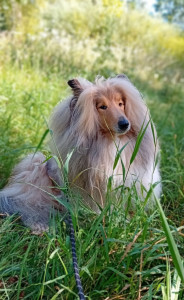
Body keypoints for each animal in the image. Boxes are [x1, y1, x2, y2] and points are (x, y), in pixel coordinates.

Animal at [0, 74, 161, 233]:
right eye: (102, 106)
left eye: (121, 103)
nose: (125, 124)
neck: (109, 142)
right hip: (37, 168)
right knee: (28, 204)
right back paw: (40, 225)